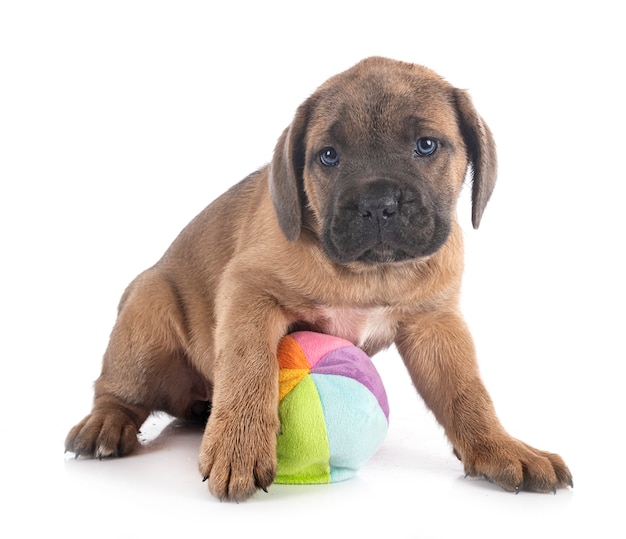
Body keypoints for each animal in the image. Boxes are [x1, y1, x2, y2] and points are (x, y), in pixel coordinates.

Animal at [67, 56, 572, 502]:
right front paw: (240, 442)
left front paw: (500, 447)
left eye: (426, 145)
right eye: (328, 157)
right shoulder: (249, 291)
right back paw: (105, 425)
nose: (377, 203)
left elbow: (467, 393)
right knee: (116, 391)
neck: (372, 273)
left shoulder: (435, 324)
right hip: (146, 322)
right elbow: (249, 363)